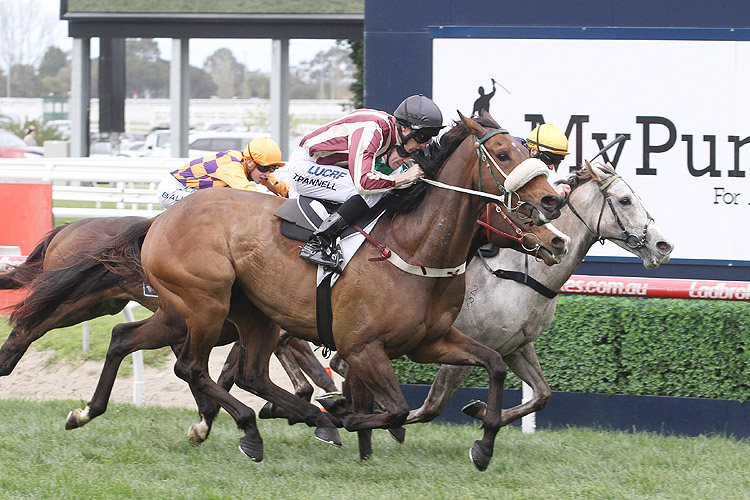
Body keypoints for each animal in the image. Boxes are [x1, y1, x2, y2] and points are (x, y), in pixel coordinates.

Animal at [7, 113, 564, 468]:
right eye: (501, 151)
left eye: (527, 150)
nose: (552, 207)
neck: (414, 246)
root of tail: (159, 220)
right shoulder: (362, 347)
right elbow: (391, 407)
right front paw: (349, 417)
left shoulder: (430, 340)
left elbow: (492, 366)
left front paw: (483, 444)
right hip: (203, 303)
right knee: (190, 366)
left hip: (236, 313)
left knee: (205, 361)